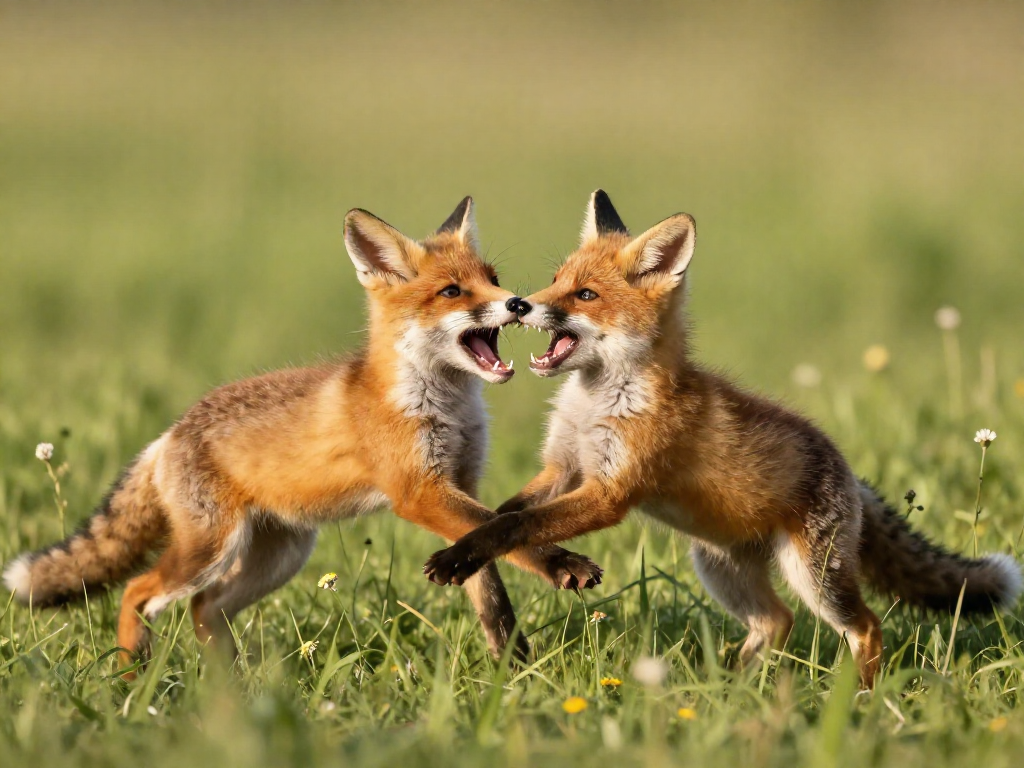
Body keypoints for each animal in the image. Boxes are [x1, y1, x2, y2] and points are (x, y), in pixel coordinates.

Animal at [3, 197, 602, 675]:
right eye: (453, 291)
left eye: (493, 278)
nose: (518, 303)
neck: (443, 407)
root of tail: (170, 431)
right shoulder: (419, 492)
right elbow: (515, 540)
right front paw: (563, 568)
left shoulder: (462, 485)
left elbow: (490, 574)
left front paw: (513, 669)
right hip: (208, 551)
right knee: (136, 592)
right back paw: (132, 678)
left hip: (277, 558)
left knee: (204, 608)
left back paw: (230, 688)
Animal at [423, 190, 1022, 688]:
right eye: (556, 279)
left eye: (585, 294)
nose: (521, 304)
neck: (597, 403)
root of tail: (849, 472)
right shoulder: (565, 468)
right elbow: (503, 514)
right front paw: (494, 547)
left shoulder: (610, 492)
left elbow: (516, 524)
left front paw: (468, 554)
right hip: (720, 568)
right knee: (776, 621)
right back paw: (731, 694)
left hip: (814, 577)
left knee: (865, 626)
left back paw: (863, 701)